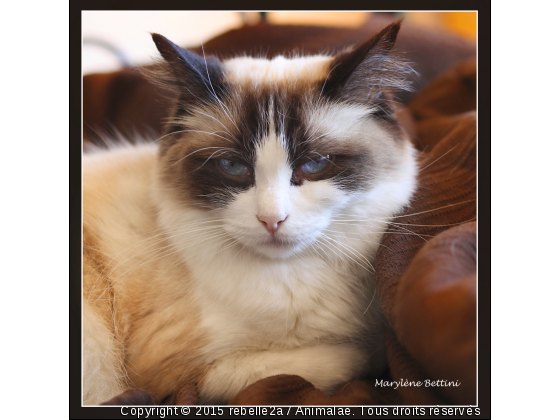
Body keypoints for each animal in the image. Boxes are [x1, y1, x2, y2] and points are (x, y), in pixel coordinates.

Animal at [82, 21, 416, 406]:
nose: (272, 220)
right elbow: (345, 360)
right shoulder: (183, 371)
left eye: (315, 164)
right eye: (233, 167)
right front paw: (368, 352)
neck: (290, 276)